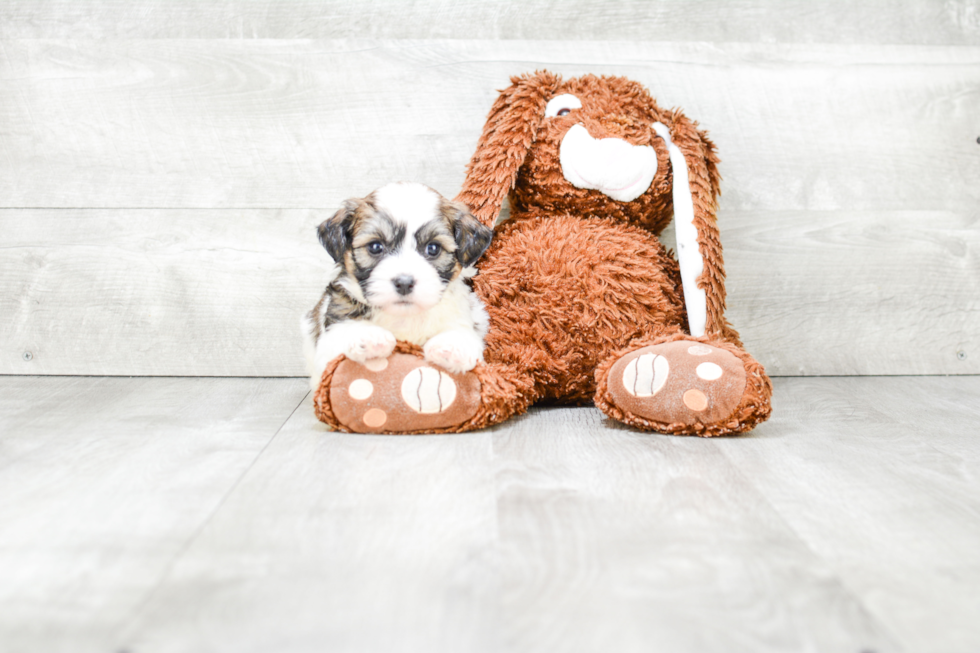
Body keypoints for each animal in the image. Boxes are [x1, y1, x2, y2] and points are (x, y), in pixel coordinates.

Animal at [302, 181, 494, 390]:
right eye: (375, 247)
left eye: (433, 248)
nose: (404, 283)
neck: (403, 317)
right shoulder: (328, 342)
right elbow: (342, 333)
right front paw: (367, 336)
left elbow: (462, 332)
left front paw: (451, 346)